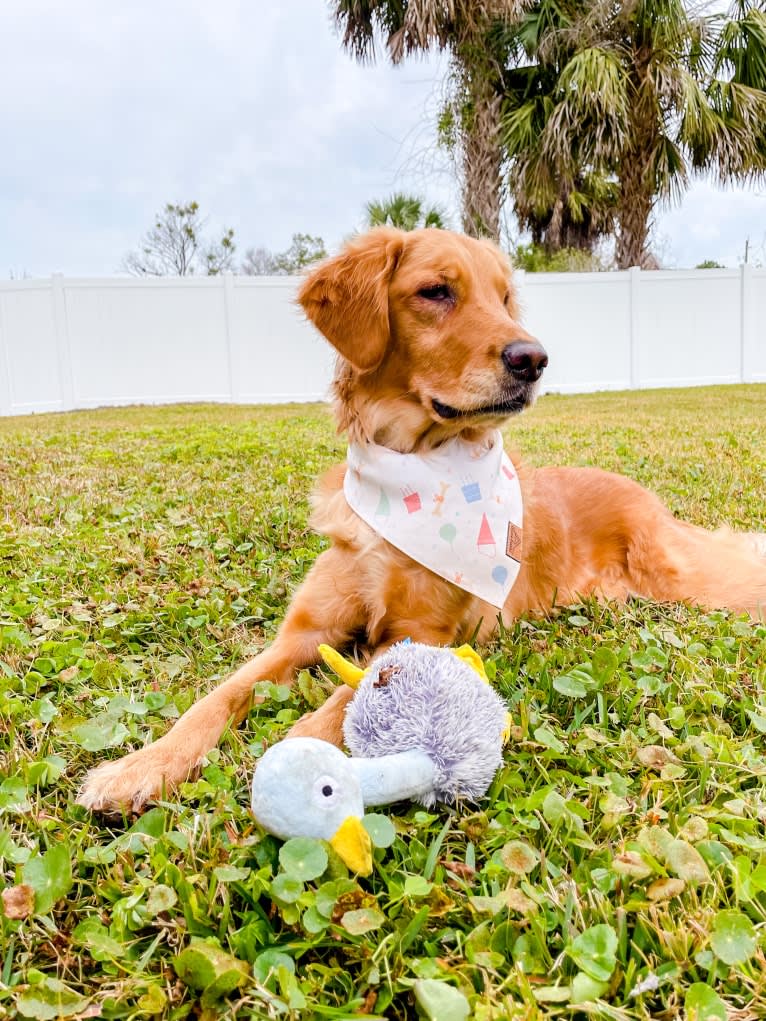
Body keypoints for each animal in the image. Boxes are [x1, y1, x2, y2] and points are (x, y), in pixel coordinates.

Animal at [78, 225, 766, 812]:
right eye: (436, 292)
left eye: (505, 298)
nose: (534, 359)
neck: (410, 477)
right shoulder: (300, 633)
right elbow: (216, 697)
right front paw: (142, 765)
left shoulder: (426, 634)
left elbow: (348, 693)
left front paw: (300, 753)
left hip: (682, 579)